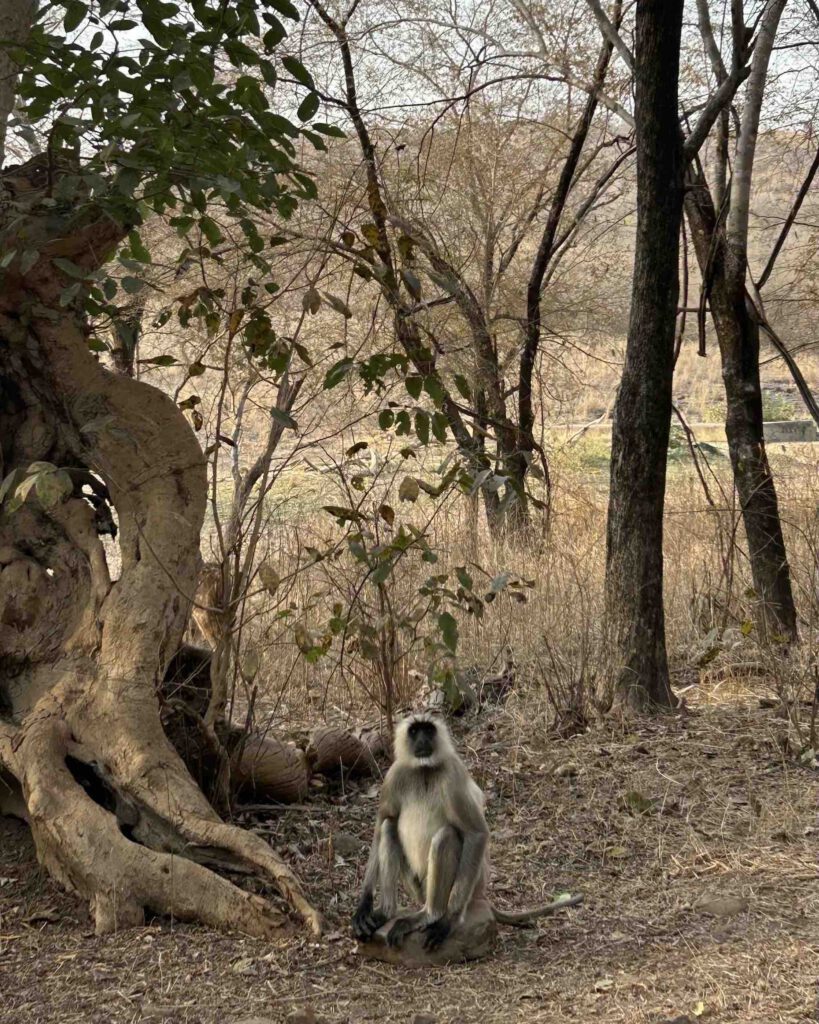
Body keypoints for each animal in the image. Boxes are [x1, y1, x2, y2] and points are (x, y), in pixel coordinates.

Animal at [351, 713, 582, 951]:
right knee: (388, 826)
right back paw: (387, 912)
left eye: (428, 729)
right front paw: (365, 905)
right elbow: (380, 823)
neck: (424, 769)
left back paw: (432, 915)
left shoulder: (453, 773)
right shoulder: (393, 775)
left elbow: (476, 833)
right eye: (414, 731)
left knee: (447, 836)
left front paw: (448, 922)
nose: (422, 740)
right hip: (418, 888)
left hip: (468, 887)